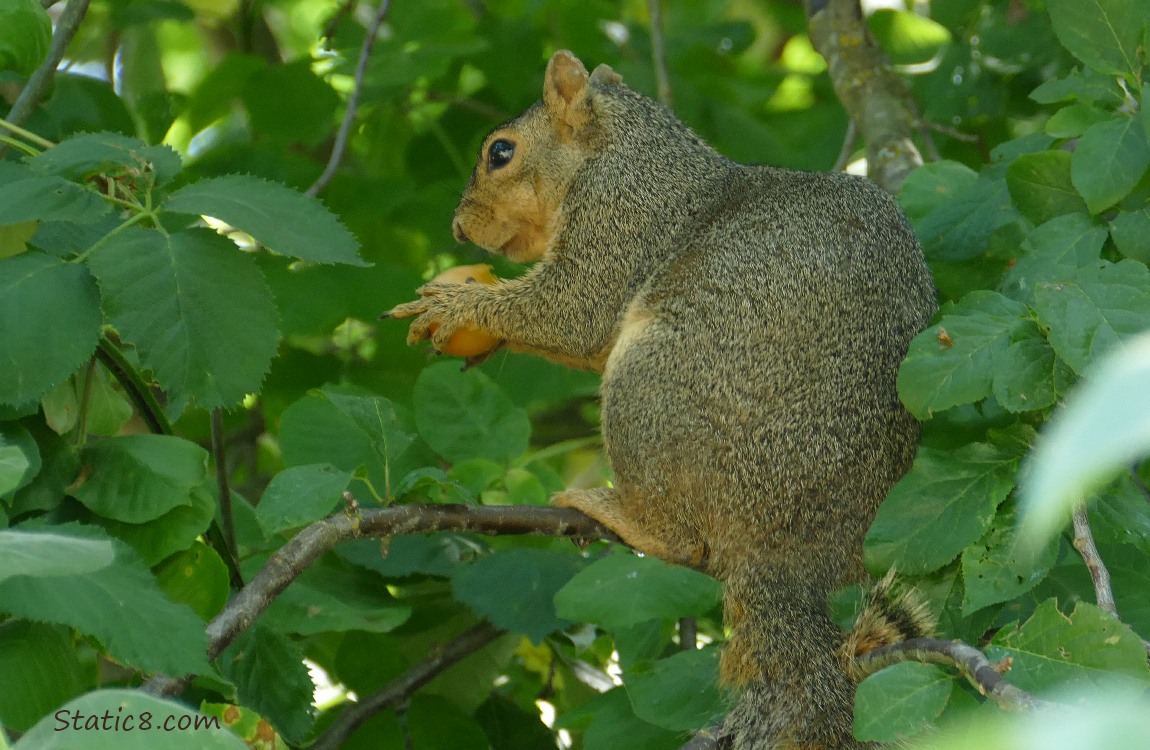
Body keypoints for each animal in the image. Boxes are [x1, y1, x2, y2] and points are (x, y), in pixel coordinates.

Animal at [389, 51, 938, 749]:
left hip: (646, 393)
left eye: (500, 152)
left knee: (683, 541)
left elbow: (577, 311)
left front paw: (460, 306)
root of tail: (788, 557)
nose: (460, 229)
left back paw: (617, 512)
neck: (627, 148)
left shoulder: (621, 216)